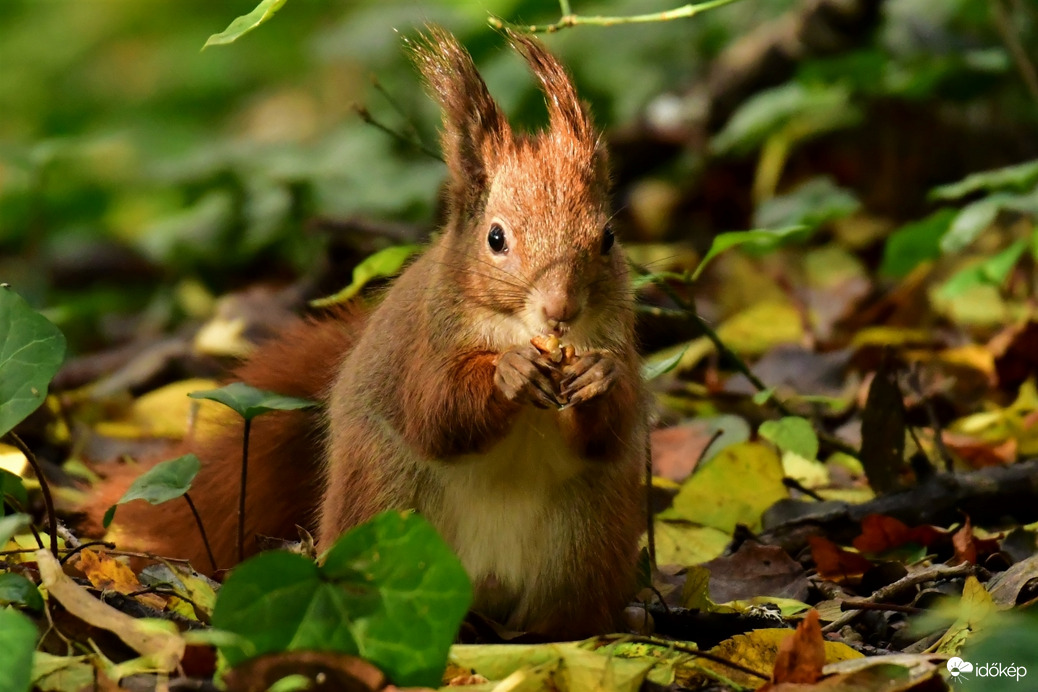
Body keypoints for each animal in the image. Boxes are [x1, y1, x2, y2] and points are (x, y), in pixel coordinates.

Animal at [89, 29, 643, 643]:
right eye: (495, 238)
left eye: (608, 238)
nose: (560, 309)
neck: (513, 326)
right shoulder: (424, 342)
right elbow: (436, 413)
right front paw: (510, 371)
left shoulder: (619, 340)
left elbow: (611, 429)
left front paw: (597, 376)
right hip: (385, 497)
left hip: (587, 536)